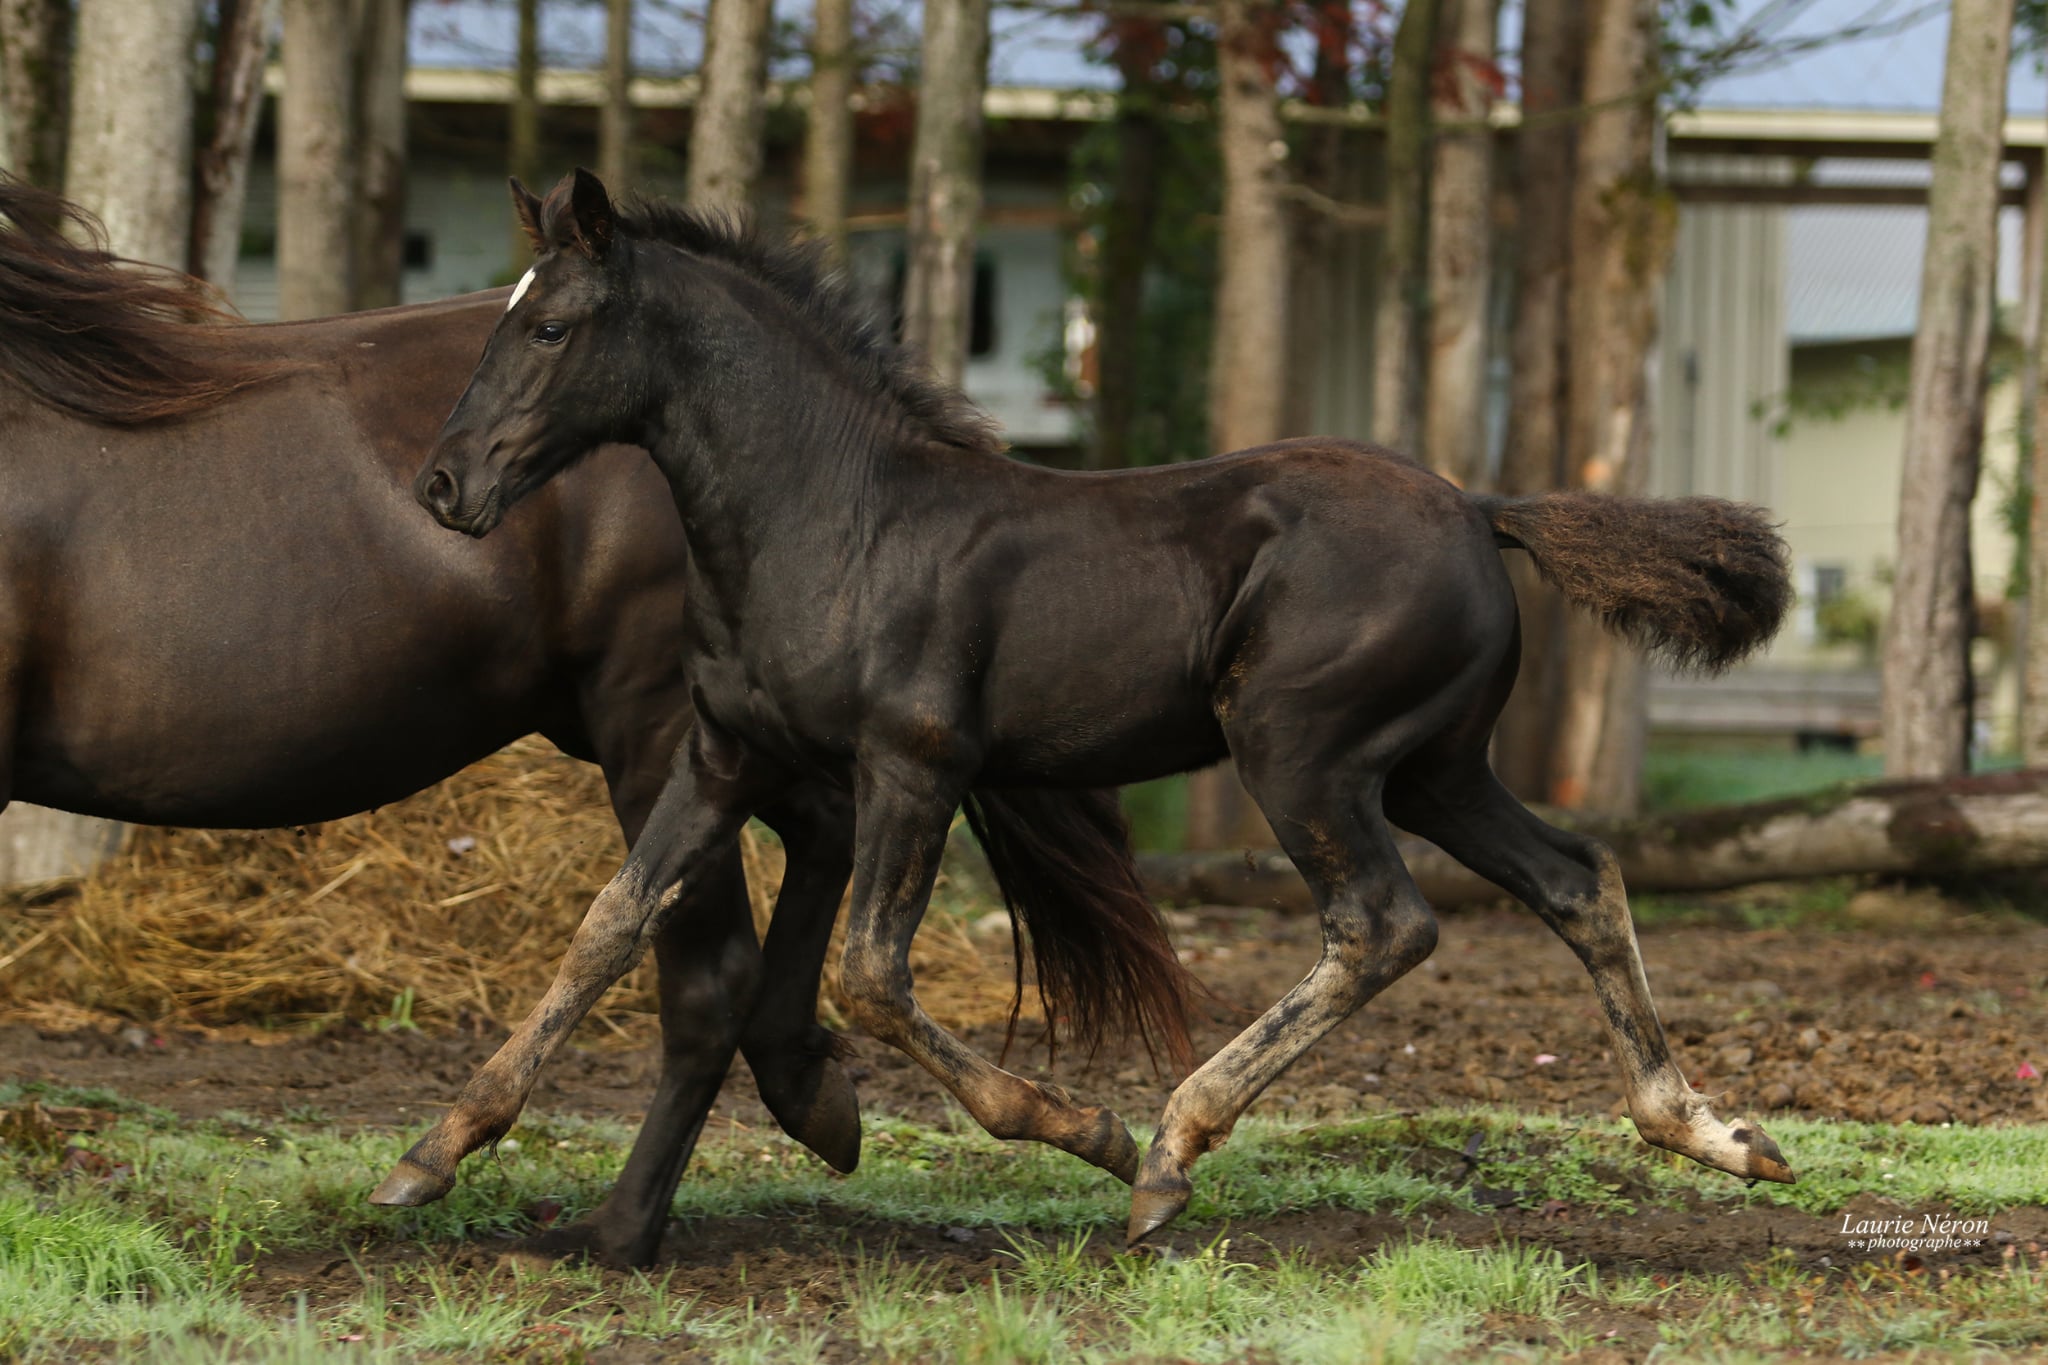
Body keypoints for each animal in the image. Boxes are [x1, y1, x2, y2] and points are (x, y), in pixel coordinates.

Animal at [392, 168, 1800, 1244]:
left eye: (549, 328)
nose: (443, 486)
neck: (829, 518)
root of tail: (1477, 507)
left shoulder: (912, 762)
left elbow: (869, 976)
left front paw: (1090, 1133)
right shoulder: (721, 757)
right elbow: (605, 926)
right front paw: (432, 1151)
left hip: (1301, 754)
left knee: (1381, 924)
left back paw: (1170, 1151)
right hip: (1433, 768)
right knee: (1574, 878)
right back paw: (1711, 1132)